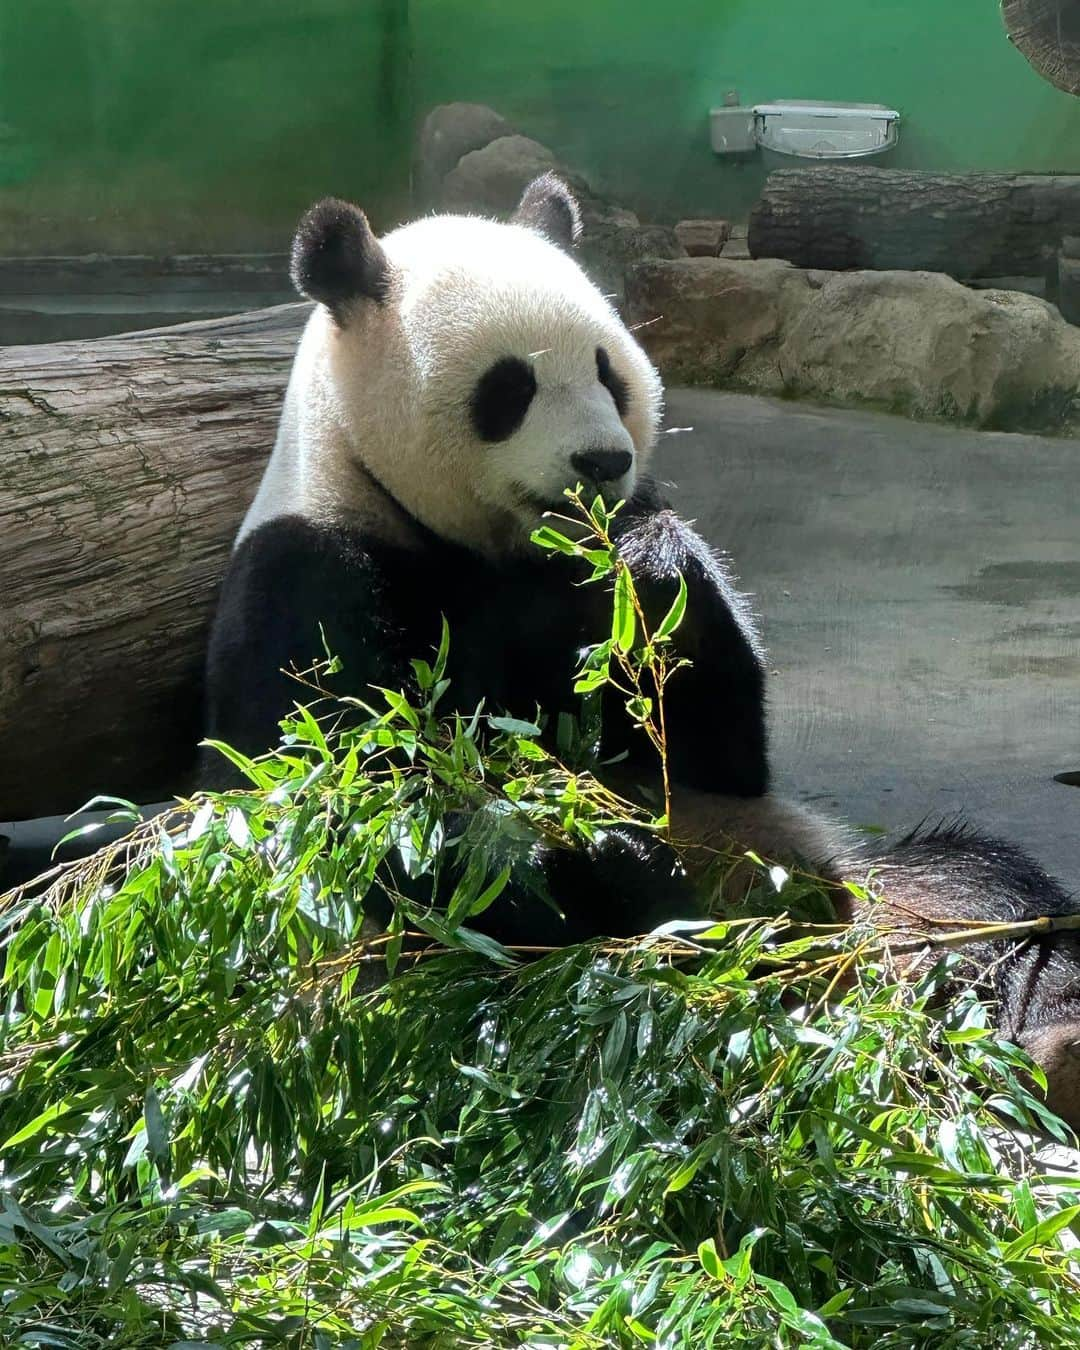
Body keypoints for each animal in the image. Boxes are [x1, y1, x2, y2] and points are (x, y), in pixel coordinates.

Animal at [205, 176, 1080, 1128]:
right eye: (509, 387)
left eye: (607, 371)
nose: (602, 461)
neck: (486, 546)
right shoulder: (313, 572)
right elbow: (359, 802)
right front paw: (613, 866)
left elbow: (711, 747)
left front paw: (651, 568)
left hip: (850, 881)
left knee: (989, 896)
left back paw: (1050, 1039)